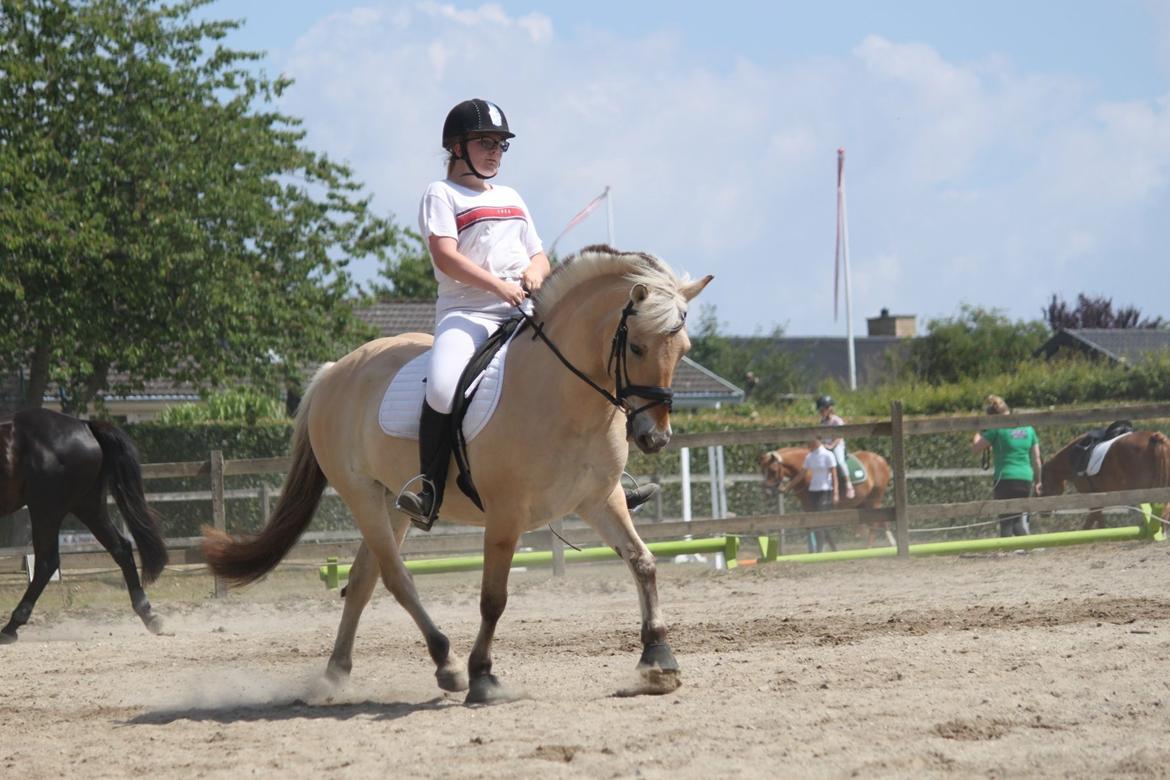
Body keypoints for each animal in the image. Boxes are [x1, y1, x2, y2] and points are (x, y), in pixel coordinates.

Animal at [0, 409, 169, 640]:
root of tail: (84, 425)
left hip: (46, 510)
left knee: (46, 562)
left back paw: (11, 626)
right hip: (88, 507)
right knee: (121, 548)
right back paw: (148, 614)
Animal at [202, 246, 711, 706]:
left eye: (683, 350)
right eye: (637, 346)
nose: (655, 438)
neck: (562, 394)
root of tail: (332, 372)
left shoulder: (600, 499)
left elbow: (643, 562)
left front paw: (658, 661)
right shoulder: (506, 515)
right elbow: (493, 597)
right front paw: (483, 676)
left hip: (392, 501)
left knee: (364, 577)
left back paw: (335, 675)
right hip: (361, 495)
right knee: (395, 577)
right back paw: (445, 662)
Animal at [758, 444, 893, 549]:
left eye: (773, 470)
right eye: (762, 470)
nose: (767, 492)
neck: (808, 472)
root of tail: (881, 459)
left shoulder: (820, 507)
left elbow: (821, 529)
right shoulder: (809, 508)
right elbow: (819, 529)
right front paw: (832, 550)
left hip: (874, 499)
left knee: (874, 524)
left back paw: (869, 547)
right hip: (864, 502)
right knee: (881, 521)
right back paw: (892, 543)